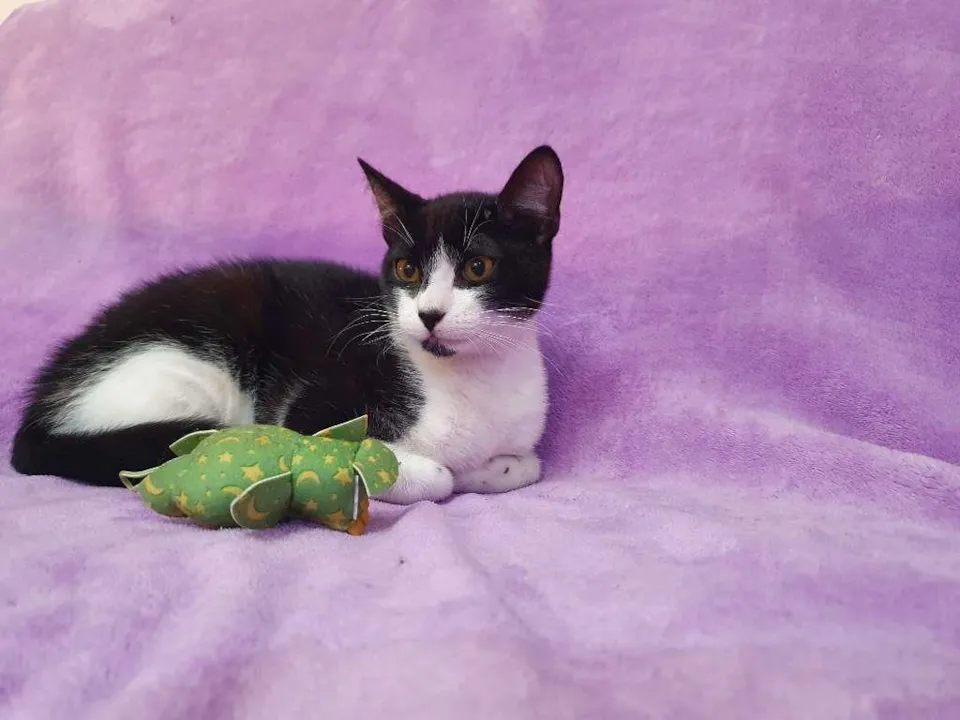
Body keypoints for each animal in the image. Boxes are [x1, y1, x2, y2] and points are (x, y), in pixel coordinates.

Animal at [10, 146, 563, 504]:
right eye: (408, 270)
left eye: (478, 268)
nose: (429, 314)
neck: (467, 378)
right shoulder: (309, 406)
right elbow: (422, 472)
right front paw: (432, 470)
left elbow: (525, 465)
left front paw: (490, 469)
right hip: (182, 368)